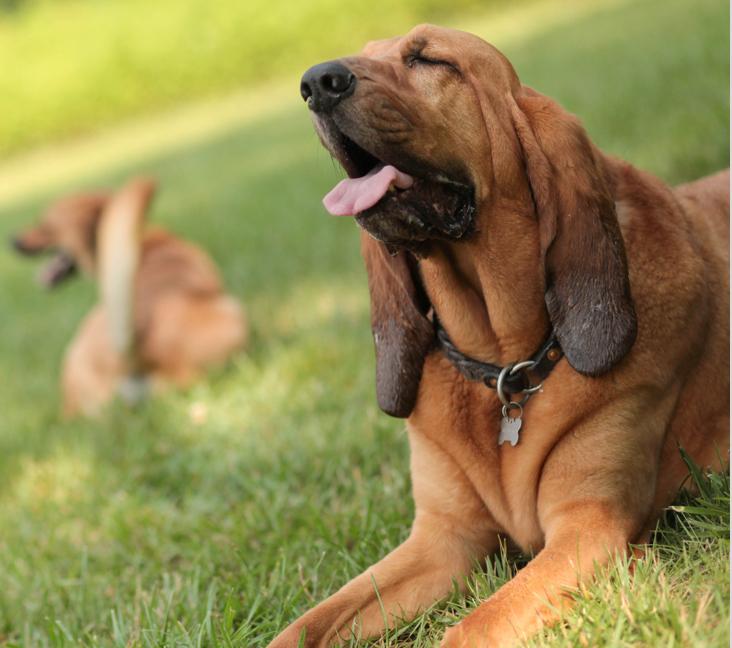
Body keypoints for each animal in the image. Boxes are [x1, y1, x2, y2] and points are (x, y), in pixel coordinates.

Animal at [270, 22, 732, 644]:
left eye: (429, 59)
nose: (315, 83)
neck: (500, 364)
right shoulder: (442, 540)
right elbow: (301, 627)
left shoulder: (589, 530)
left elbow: (469, 628)